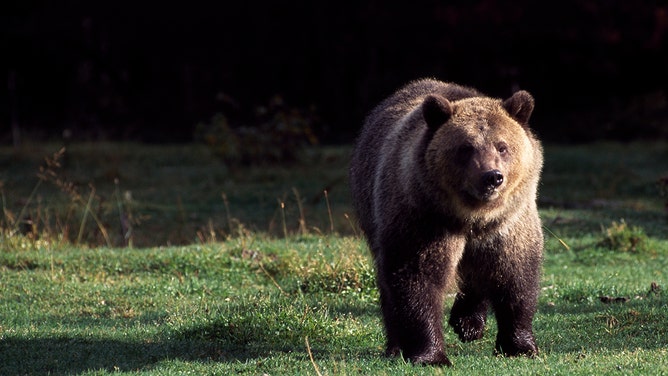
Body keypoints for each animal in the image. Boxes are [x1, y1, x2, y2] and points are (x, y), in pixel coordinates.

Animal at [350, 78, 544, 366]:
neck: (473, 216)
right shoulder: (424, 219)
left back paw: (469, 323)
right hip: (373, 211)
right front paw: (430, 354)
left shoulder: (509, 223)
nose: (492, 177)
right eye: (466, 147)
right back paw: (396, 345)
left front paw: (519, 345)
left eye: (502, 146)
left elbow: (515, 276)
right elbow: (418, 277)